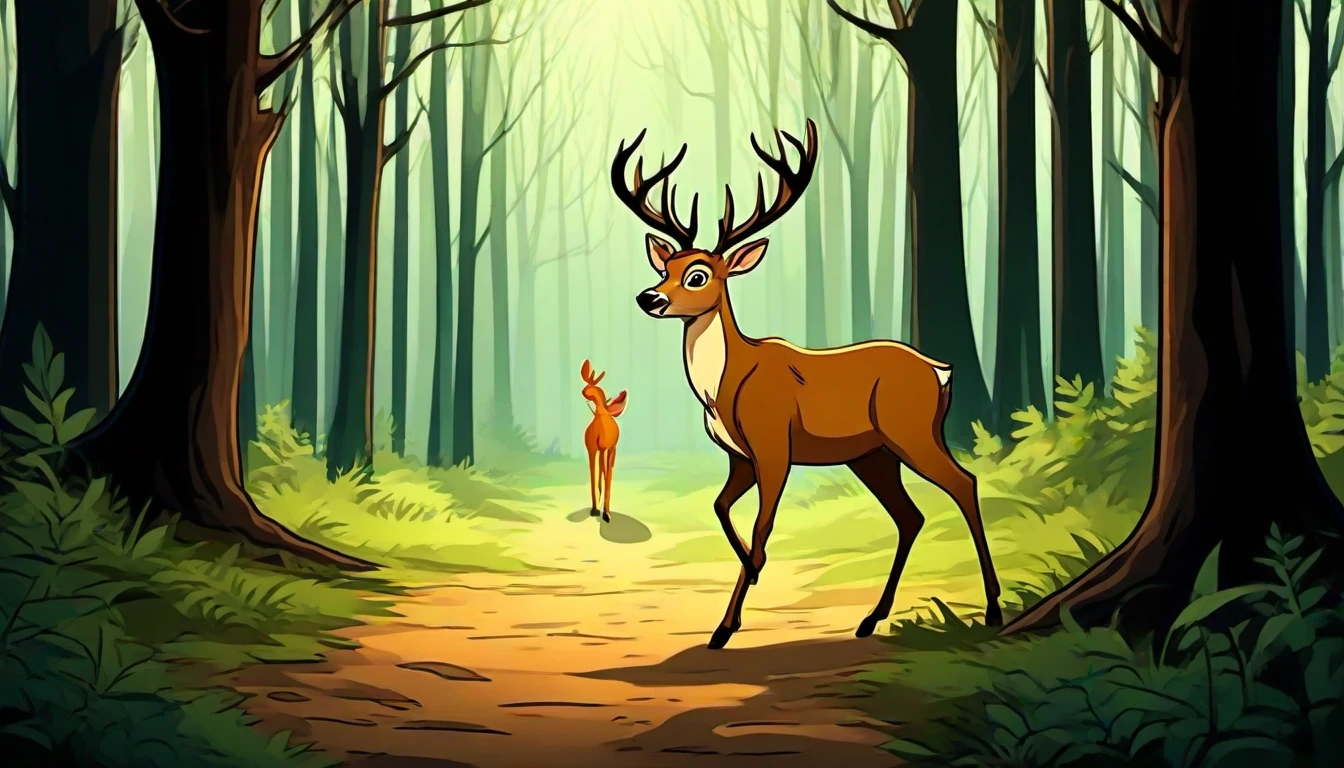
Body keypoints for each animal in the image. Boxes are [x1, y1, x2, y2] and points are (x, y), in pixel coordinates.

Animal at [581, 360, 628, 523]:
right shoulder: (591, 449)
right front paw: (595, 509)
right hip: (599, 450)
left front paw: (606, 513)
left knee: (605, 472)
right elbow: (593, 476)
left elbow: (608, 478)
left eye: (594, 386)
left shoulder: (612, 449)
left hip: (606, 450)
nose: (583, 391)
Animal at [610, 119, 1003, 650]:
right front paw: (751, 574)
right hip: (872, 454)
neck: (725, 387)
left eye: (698, 275)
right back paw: (870, 619)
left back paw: (993, 609)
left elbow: (763, 525)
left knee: (964, 484)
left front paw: (726, 625)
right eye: (664, 267)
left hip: (912, 431)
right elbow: (720, 506)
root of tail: (940, 370)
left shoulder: (774, 444)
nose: (648, 297)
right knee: (911, 515)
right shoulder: (740, 456)